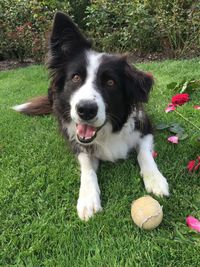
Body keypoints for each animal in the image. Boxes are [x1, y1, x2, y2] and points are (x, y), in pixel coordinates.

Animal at [14, 12, 169, 221]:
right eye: (75, 77)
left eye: (110, 82)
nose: (86, 110)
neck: (108, 131)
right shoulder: (77, 143)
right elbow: (87, 167)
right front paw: (88, 199)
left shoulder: (145, 126)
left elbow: (144, 153)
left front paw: (155, 179)